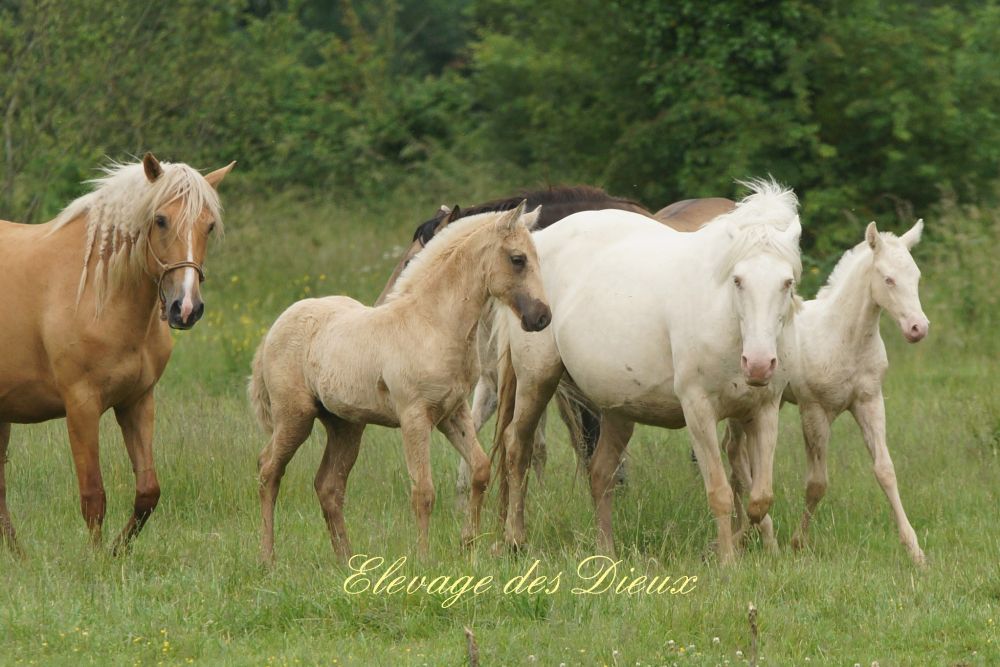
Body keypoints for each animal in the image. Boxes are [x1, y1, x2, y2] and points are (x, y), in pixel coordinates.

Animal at [0, 153, 234, 554]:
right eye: (161, 220)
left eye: (208, 225)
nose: (186, 308)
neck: (97, 290)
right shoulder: (81, 406)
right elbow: (93, 495)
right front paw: (96, 559)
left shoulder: (137, 402)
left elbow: (148, 492)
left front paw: (117, 551)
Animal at [250, 202, 551, 563]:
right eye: (518, 259)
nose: (542, 317)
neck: (432, 324)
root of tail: (275, 327)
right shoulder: (414, 417)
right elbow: (423, 491)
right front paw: (423, 560)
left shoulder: (453, 412)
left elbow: (479, 469)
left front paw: (469, 549)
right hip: (295, 416)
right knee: (268, 470)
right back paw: (268, 558)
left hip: (345, 425)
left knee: (329, 486)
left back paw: (347, 563)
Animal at [493, 180, 802, 564]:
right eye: (738, 280)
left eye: (787, 282)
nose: (758, 364)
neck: (727, 319)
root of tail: (540, 239)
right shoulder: (698, 411)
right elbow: (720, 492)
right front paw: (728, 560)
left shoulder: (763, 410)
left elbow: (759, 496)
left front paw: (751, 543)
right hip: (537, 380)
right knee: (517, 448)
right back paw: (515, 539)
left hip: (618, 410)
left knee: (601, 473)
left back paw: (606, 551)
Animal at [724, 219, 929, 565]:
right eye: (888, 279)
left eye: (915, 277)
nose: (918, 328)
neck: (844, 336)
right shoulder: (815, 410)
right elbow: (817, 483)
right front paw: (797, 543)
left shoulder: (870, 402)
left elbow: (885, 470)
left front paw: (915, 551)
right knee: (736, 458)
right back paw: (746, 536)